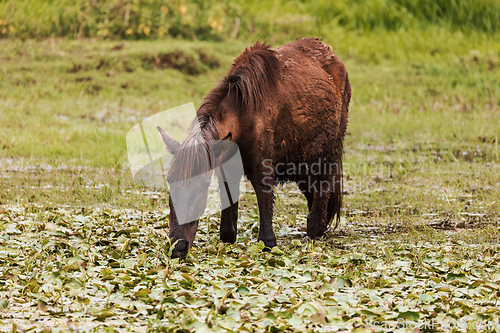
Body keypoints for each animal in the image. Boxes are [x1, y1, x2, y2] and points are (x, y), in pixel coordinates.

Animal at [158, 37, 350, 258]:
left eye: (203, 185)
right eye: (170, 181)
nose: (177, 247)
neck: (243, 113)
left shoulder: (262, 167)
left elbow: (264, 201)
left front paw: (268, 241)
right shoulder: (226, 167)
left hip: (329, 151)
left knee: (323, 187)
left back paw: (315, 231)